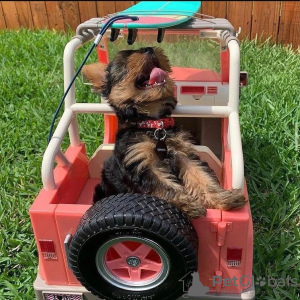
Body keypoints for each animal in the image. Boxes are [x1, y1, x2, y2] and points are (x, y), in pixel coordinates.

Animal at [82, 46, 246, 218]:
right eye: (124, 62)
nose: (148, 49)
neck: (154, 124)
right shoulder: (141, 161)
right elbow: (163, 185)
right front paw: (186, 203)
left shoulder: (184, 153)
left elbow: (201, 175)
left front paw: (223, 198)